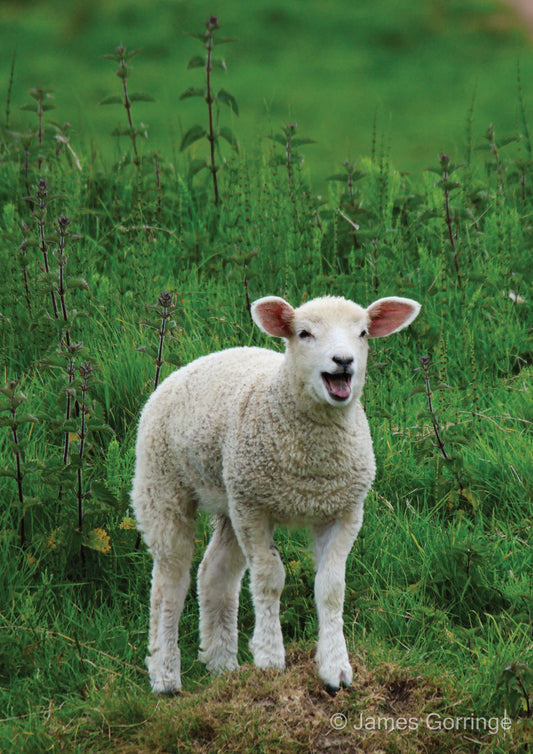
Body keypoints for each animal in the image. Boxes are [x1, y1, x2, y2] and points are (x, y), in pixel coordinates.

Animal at [131, 293, 421, 695]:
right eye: (304, 333)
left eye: (363, 333)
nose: (343, 360)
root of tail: (194, 363)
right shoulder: (255, 508)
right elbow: (270, 578)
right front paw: (270, 658)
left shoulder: (344, 510)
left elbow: (331, 588)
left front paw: (335, 668)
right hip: (163, 486)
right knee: (169, 582)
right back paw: (165, 675)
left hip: (229, 497)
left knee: (215, 574)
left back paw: (223, 665)